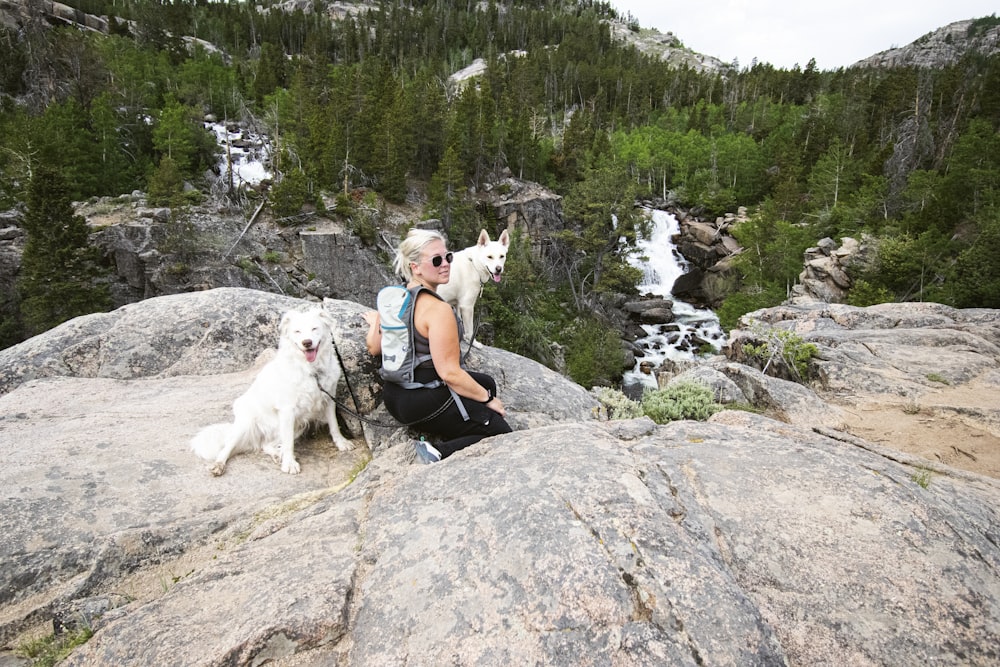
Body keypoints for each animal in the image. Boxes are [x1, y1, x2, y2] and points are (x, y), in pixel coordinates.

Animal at [189, 308, 354, 474]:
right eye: (297, 331)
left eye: (314, 328)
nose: (306, 343)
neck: (312, 371)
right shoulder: (287, 410)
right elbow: (289, 444)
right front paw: (289, 463)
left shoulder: (329, 399)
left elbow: (334, 425)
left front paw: (341, 443)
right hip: (247, 424)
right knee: (228, 446)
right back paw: (219, 464)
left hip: (297, 425)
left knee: (266, 445)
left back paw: (276, 454)